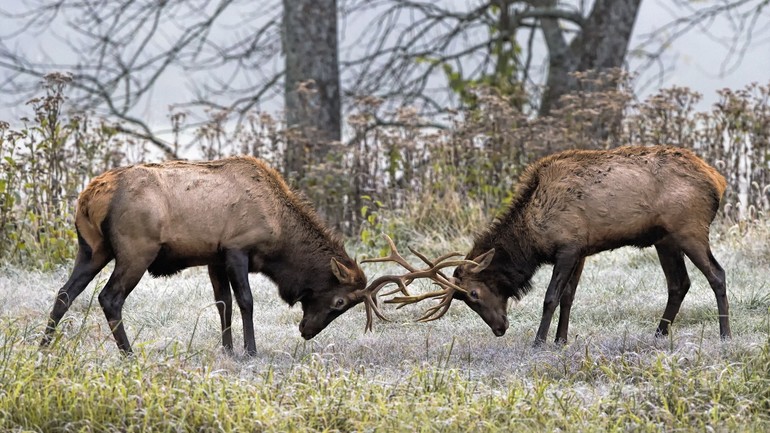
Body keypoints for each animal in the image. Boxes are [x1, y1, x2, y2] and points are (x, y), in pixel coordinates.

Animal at [39, 156, 390, 354]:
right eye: (339, 302)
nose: (306, 331)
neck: (279, 232)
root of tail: (90, 197)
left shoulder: (214, 258)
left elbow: (223, 302)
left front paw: (228, 349)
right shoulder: (237, 248)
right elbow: (246, 301)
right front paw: (250, 350)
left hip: (91, 249)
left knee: (64, 292)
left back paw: (43, 347)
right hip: (136, 249)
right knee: (109, 298)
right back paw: (129, 354)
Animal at [380, 145, 728, 344]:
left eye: (474, 294)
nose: (499, 328)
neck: (531, 240)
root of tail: (718, 181)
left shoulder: (568, 245)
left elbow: (550, 297)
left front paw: (539, 341)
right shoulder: (582, 249)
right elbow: (569, 297)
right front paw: (561, 341)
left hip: (689, 228)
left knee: (717, 274)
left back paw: (725, 335)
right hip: (663, 238)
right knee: (679, 284)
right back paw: (658, 334)